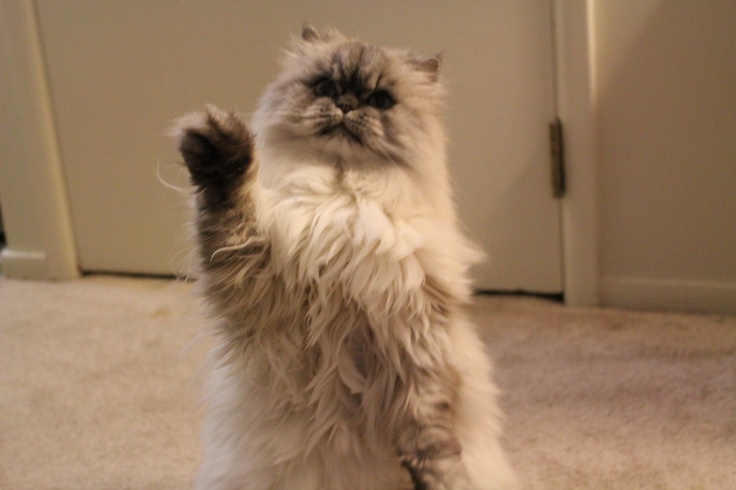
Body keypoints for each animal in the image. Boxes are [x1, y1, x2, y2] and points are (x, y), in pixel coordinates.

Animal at [172, 24, 516, 488]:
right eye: (326, 87)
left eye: (381, 101)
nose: (347, 105)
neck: (341, 205)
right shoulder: (255, 275)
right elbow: (231, 203)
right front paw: (219, 151)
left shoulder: (417, 334)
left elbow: (430, 434)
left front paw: (438, 478)